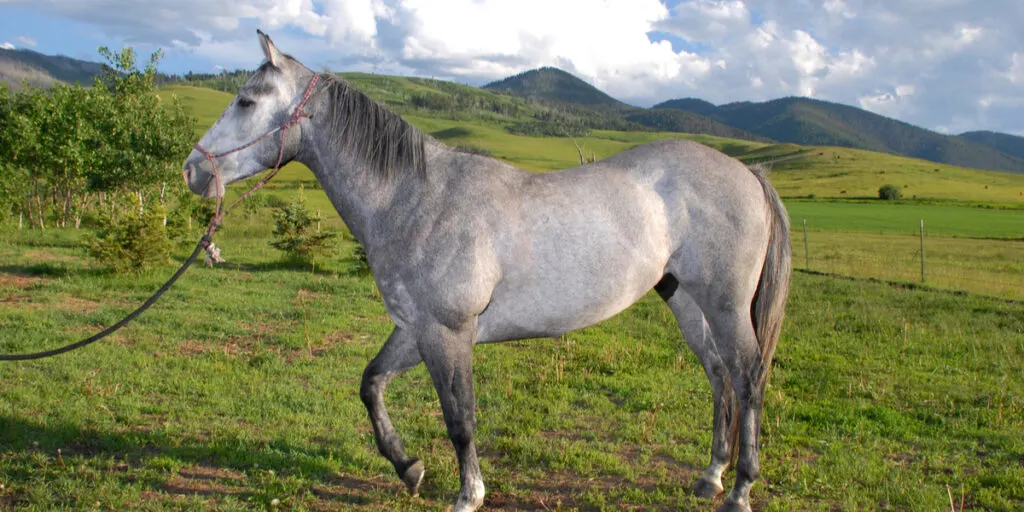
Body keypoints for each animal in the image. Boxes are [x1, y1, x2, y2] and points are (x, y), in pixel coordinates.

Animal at [182, 30, 790, 512]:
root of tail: (748, 171)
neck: (418, 199)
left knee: (747, 378)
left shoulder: (449, 333)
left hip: (726, 306)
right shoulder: (416, 329)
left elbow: (460, 418)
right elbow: (371, 384)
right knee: (718, 376)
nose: (192, 170)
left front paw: (467, 494)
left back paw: (740, 489)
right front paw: (409, 468)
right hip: (686, 302)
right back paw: (710, 477)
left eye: (245, 100)